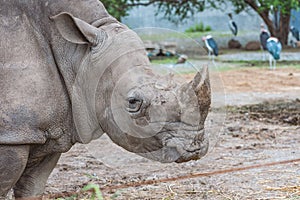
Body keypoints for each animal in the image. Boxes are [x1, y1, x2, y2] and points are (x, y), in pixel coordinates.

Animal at [0, 0, 211, 198]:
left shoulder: (51, 134)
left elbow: (32, 188)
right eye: (133, 102)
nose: (196, 147)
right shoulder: (13, 135)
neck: (78, 53)